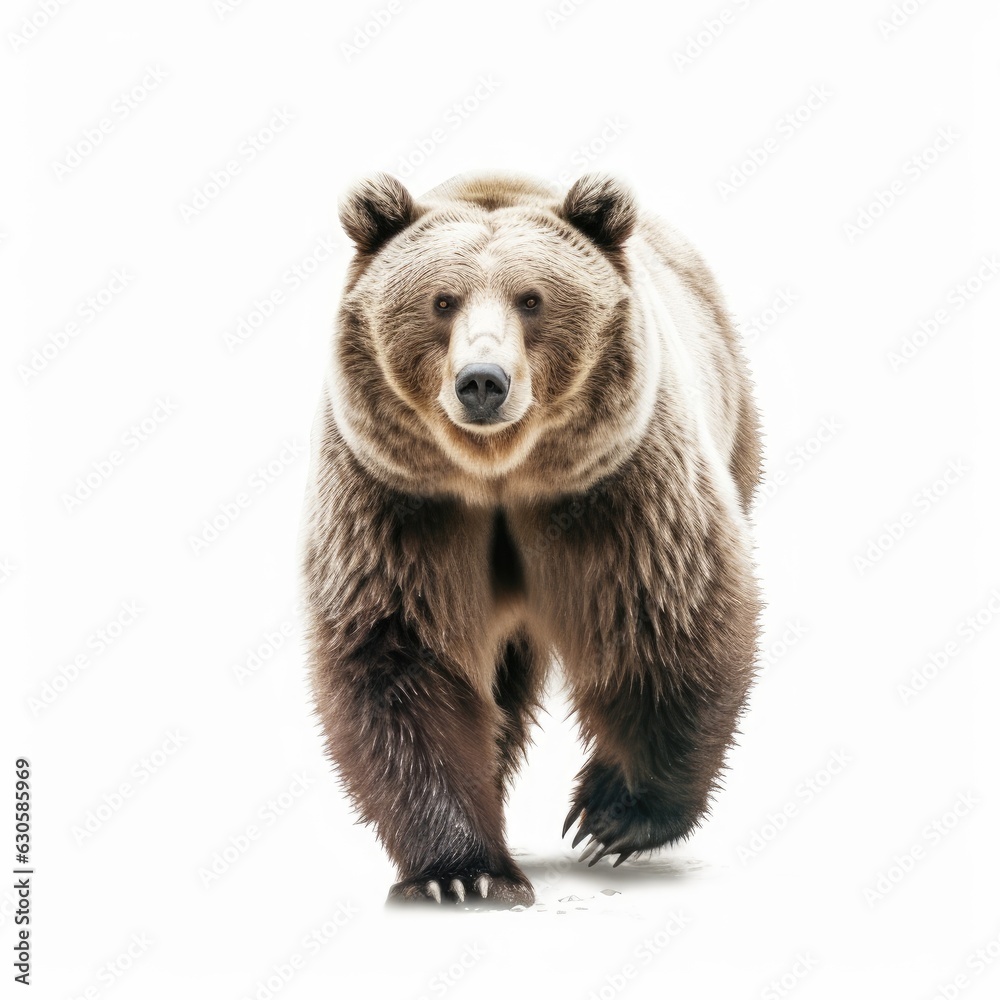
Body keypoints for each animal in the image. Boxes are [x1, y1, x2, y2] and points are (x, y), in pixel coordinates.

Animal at [301, 169, 762, 908]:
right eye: (441, 300)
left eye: (532, 299)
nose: (482, 382)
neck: (499, 476)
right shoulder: (399, 502)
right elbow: (401, 657)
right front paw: (461, 871)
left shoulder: (618, 485)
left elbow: (666, 621)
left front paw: (611, 816)